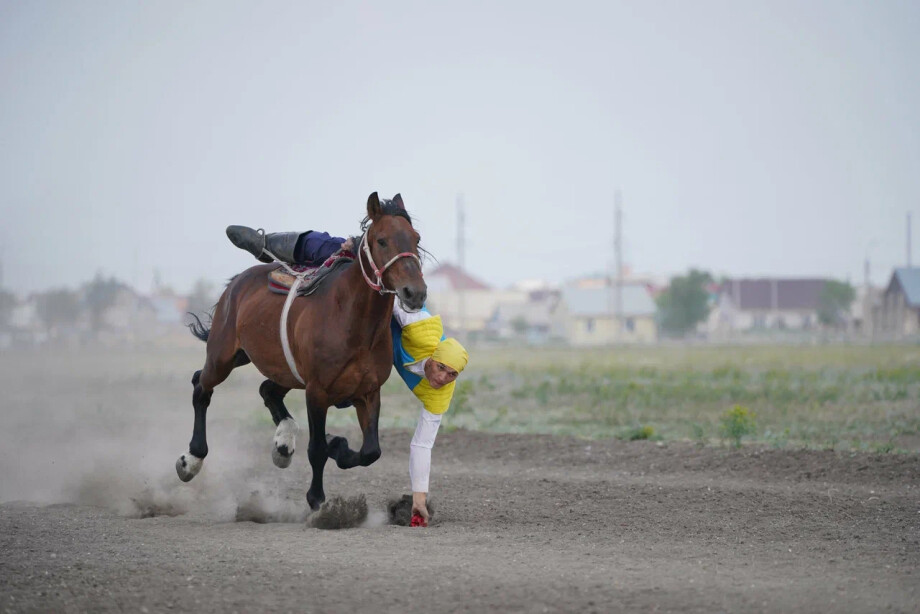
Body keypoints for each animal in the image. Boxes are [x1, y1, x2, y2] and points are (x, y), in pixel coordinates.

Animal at [176, 192, 428, 510]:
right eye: (382, 240)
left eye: (416, 238)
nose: (415, 292)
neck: (351, 320)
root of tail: (237, 283)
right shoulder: (317, 392)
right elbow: (317, 449)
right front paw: (317, 498)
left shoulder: (368, 391)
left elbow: (371, 451)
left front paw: (338, 446)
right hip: (223, 357)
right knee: (201, 387)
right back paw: (192, 459)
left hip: (279, 368)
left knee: (266, 389)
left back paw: (283, 444)